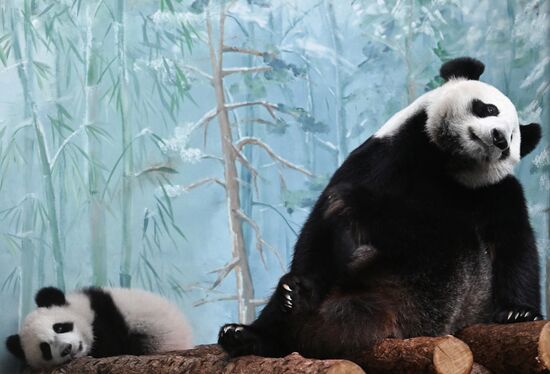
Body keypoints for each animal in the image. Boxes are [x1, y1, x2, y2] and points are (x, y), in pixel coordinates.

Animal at [218, 57, 544, 360]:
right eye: (488, 109)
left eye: (513, 138)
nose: (499, 139)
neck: (448, 165)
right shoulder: (380, 158)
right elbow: (319, 228)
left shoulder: (494, 192)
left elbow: (513, 245)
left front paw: (518, 313)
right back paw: (257, 325)